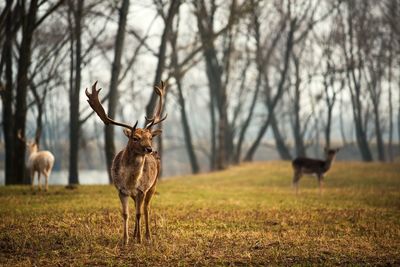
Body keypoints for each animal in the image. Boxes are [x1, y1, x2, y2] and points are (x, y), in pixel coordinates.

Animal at [86, 80, 167, 246]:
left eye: (150, 137)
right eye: (135, 138)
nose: (149, 149)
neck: (130, 181)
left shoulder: (142, 189)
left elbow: (139, 214)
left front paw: (140, 240)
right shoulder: (121, 190)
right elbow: (125, 214)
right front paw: (125, 240)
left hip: (153, 185)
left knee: (146, 208)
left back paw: (147, 236)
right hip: (135, 194)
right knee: (138, 207)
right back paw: (135, 234)